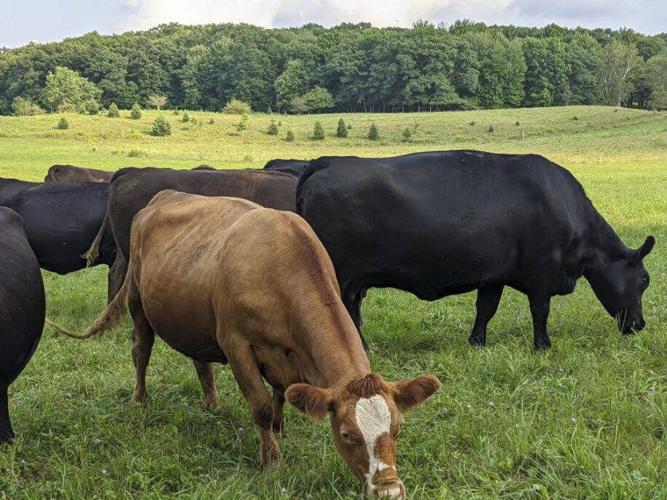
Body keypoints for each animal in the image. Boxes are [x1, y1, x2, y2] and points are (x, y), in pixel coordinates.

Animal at [53, 191, 440, 497]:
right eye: (346, 434)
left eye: (398, 428)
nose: (390, 490)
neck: (281, 267)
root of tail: (161, 197)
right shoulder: (236, 344)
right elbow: (262, 405)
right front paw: (272, 460)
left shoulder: (288, 353)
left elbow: (282, 392)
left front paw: (281, 429)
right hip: (138, 300)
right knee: (140, 350)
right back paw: (139, 398)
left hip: (195, 316)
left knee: (200, 361)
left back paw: (212, 402)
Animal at [296, 151, 655, 349]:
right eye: (643, 281)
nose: (639, 324)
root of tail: (329, 161)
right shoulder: (541, 272)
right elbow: (540, 311)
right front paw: (543, 346)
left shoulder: (493, 275)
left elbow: (486, 309)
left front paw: (477, 343)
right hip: (339, 274)